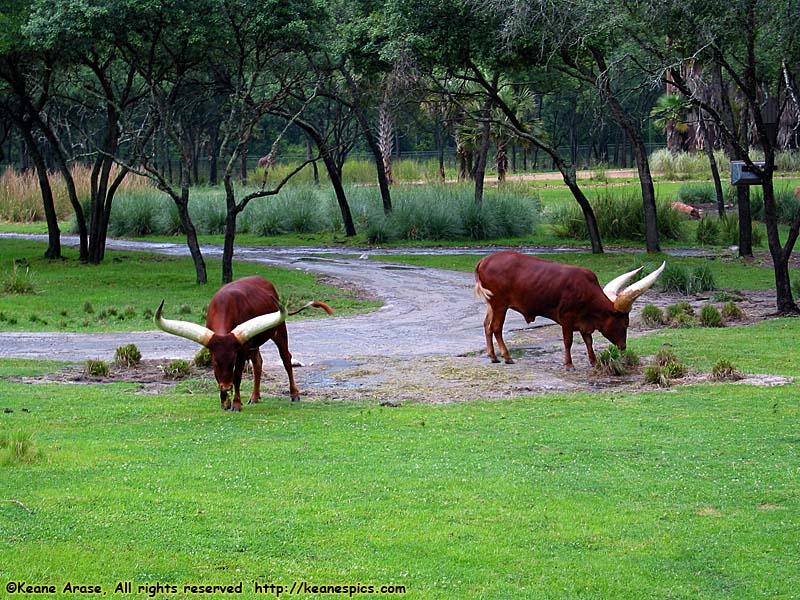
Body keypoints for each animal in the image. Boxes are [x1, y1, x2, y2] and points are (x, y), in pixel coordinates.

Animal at [155, 274, 332, 410]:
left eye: (232, 361)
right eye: (215, 362)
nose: (227, 387)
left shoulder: (241, 351)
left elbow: (237, 376)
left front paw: (236, 404)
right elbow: (219, 376)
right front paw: (224, 402)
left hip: (279, 331)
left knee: (286, 359)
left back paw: (294, 394)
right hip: (254, 343)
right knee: (258, 363)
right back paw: (254, 397)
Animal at [472, 250, 664, 370]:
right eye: (625, 323)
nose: (623, 347)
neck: (587, 292)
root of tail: (484, 261)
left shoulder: (584, 320)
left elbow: (588, 340)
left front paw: (593, 361)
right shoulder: (567, 318)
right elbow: (568, 341)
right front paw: (569, 364)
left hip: (491, 304)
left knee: (487, 325)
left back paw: (493, 356)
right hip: (500, 304)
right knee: (496, 327)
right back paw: (506, 357)